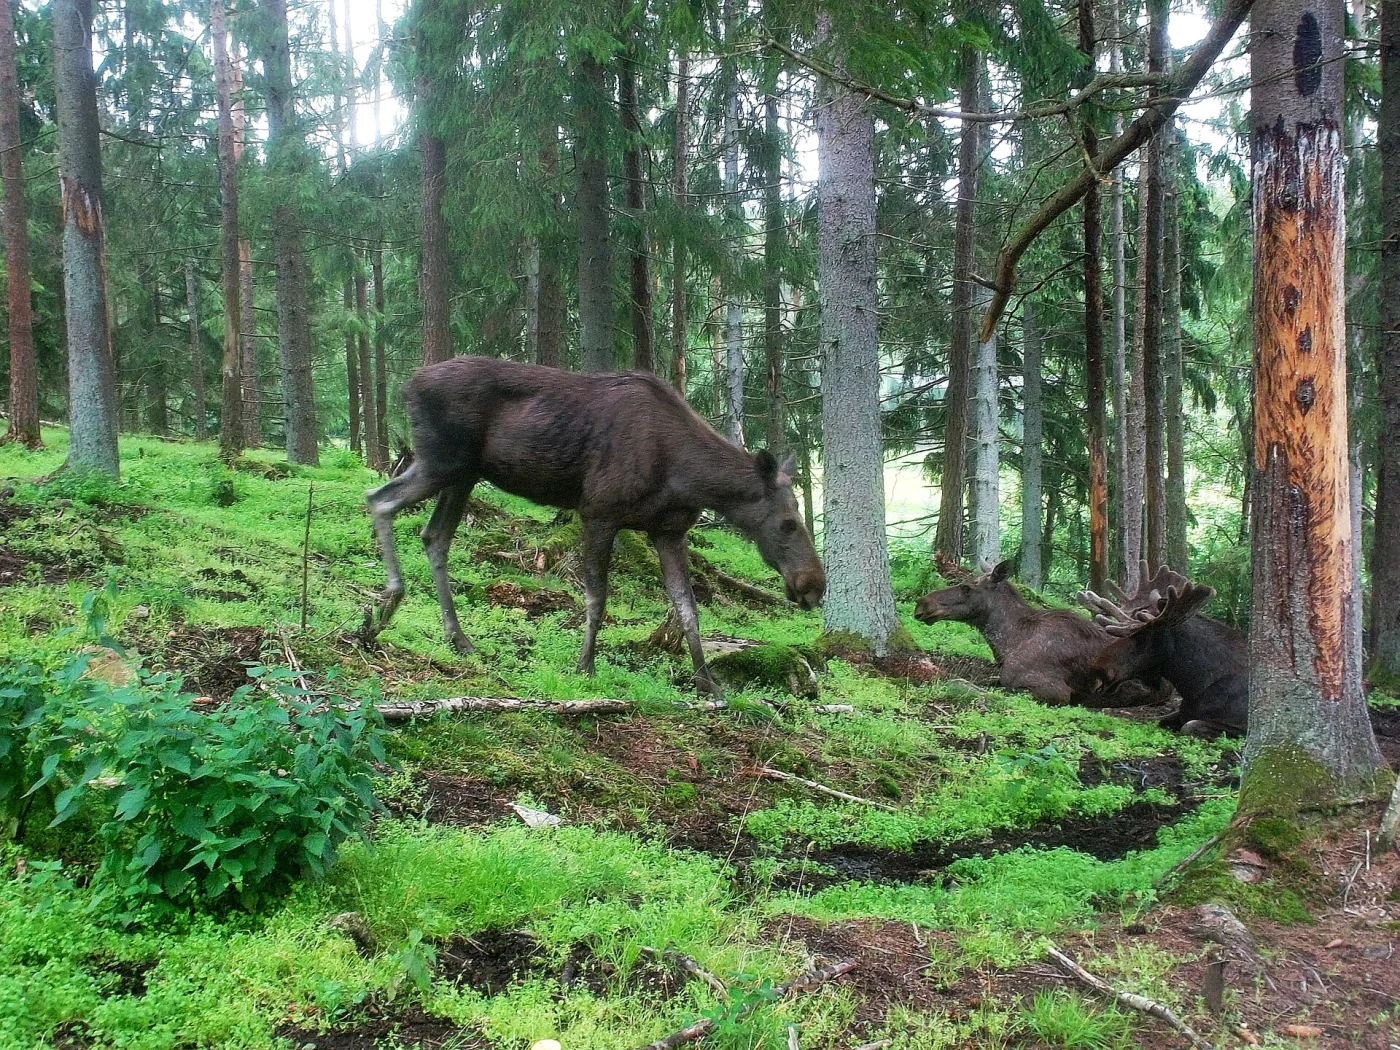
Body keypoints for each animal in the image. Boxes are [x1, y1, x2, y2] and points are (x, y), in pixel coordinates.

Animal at [364, 357, 827, 699]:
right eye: (787, 523)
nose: (813, 586)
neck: (687, 476)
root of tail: (408, 385)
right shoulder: (599, 512)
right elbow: (597, 597)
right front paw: (585, 666)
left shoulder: (668, 531)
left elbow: (687, 609)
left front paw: (708, 683)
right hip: (442, 461)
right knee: (379, 499)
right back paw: (390, 600)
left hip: (463, 474)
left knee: (433, 536)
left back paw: (457, 638)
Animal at [1078, 564, 1247, 737]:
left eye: (1143, 635)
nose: (1098, 668)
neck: (1195, 685)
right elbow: (1157, 720)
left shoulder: (1241, 726)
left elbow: (1189, 726)